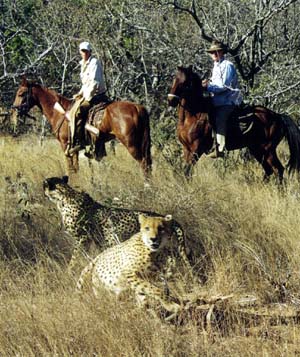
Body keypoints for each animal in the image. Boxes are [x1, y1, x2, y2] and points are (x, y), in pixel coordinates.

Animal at [12, 78, 152, 178]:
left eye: (21, 93)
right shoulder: (75, 148)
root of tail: (138, 108)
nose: (14, 110)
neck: (60, 112)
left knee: (144, 163)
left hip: (131, 143)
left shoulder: (66, 145)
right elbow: (76, 167)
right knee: (149, 163)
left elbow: (71, 168)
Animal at [43, 175, 191, 272]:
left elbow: (74, 258)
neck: (64, 196)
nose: (43, 192)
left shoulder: (83, 239)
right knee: (170, 259)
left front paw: (69, 271)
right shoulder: (96, 240)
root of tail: (168, 218)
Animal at [168, 65, 300, 181]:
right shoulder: (186, 149)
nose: (171, 100)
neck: (193, 116)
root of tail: (278, 116)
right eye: (174, 78)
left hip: (268, 150)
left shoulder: (196, 149)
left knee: (278, 170)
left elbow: (187, 171)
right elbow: (187, 172)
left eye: (186, 82)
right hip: (257, 149)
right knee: (269, 170)